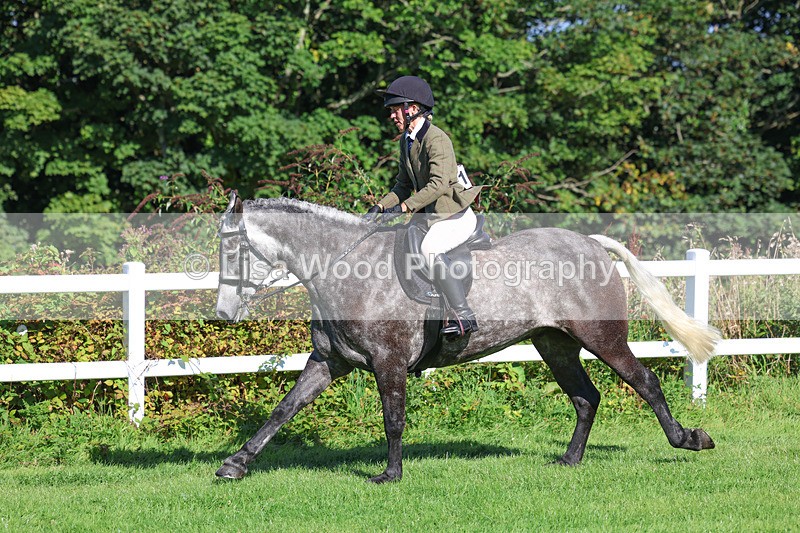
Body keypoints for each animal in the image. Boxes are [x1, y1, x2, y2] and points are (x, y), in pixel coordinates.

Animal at [214, 193, 720, 483]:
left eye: (234, 249)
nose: (222, 313)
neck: (343, 269)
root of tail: (592, 244)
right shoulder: (328, 361)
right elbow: (284, 409)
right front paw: (236, 464)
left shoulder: (388, 361)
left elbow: (393, 419)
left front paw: (390, 474)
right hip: (553, 344)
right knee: (585, 398)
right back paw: (569, 460)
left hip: (603, 338)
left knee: (644, 382)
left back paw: (689, 439)